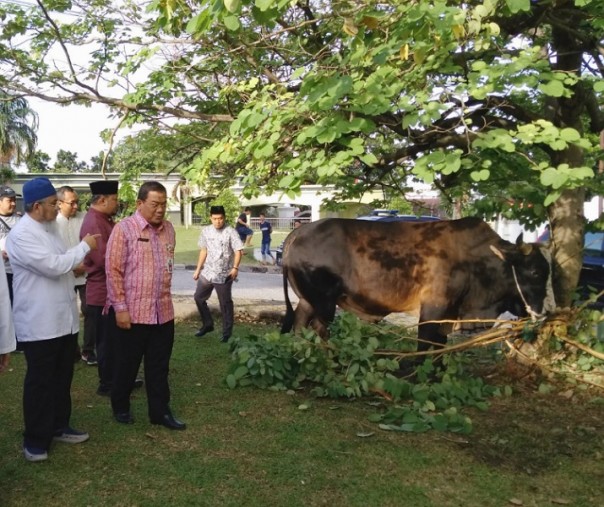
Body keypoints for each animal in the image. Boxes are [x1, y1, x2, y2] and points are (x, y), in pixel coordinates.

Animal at [280, 216, 556, 352]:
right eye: (534, 272)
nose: (542, 312)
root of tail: (300, 231)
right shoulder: (434, 308)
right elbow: (425, 343)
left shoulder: (449, 314)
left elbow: (439, 345)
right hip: (324, 301)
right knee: (318, 327)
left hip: (308, 299)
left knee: (300, 323)